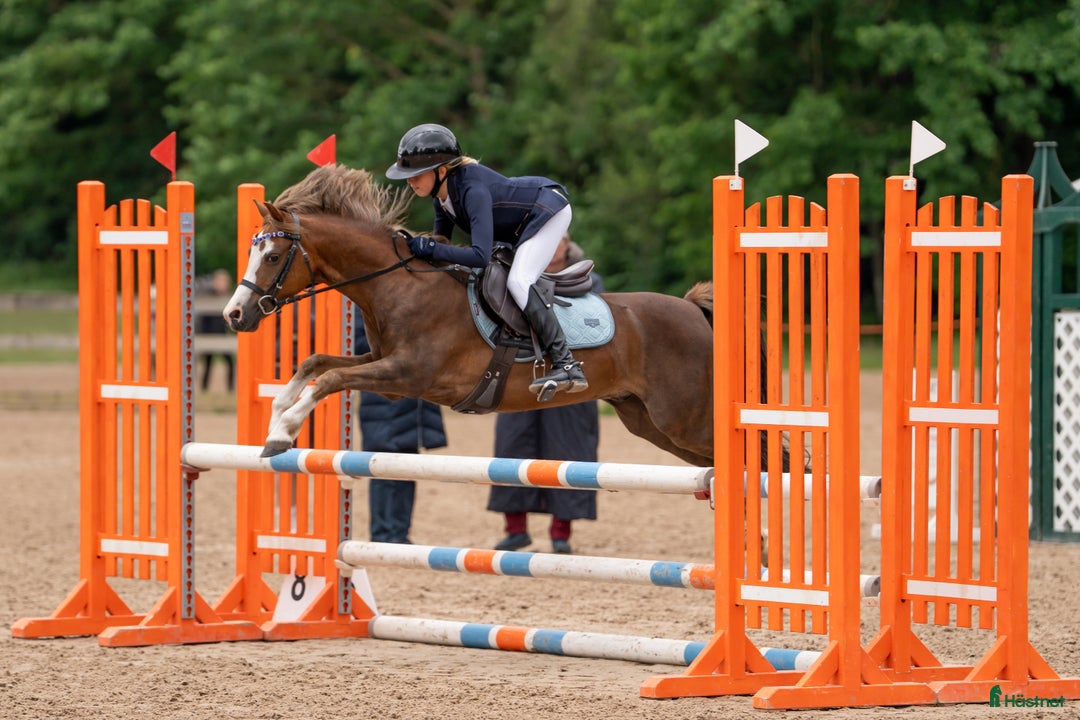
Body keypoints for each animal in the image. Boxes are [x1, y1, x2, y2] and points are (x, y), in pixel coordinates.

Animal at [222, 164, 716, 466]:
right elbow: (316, 363)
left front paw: (284, 432)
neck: (397, 285)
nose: (234, 314)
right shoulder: (384, 367)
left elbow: (330, 379)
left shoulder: (408, 374)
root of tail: (693, 311)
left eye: (272, 257)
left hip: (684, 418)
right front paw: (278, 414)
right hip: (649, 421)